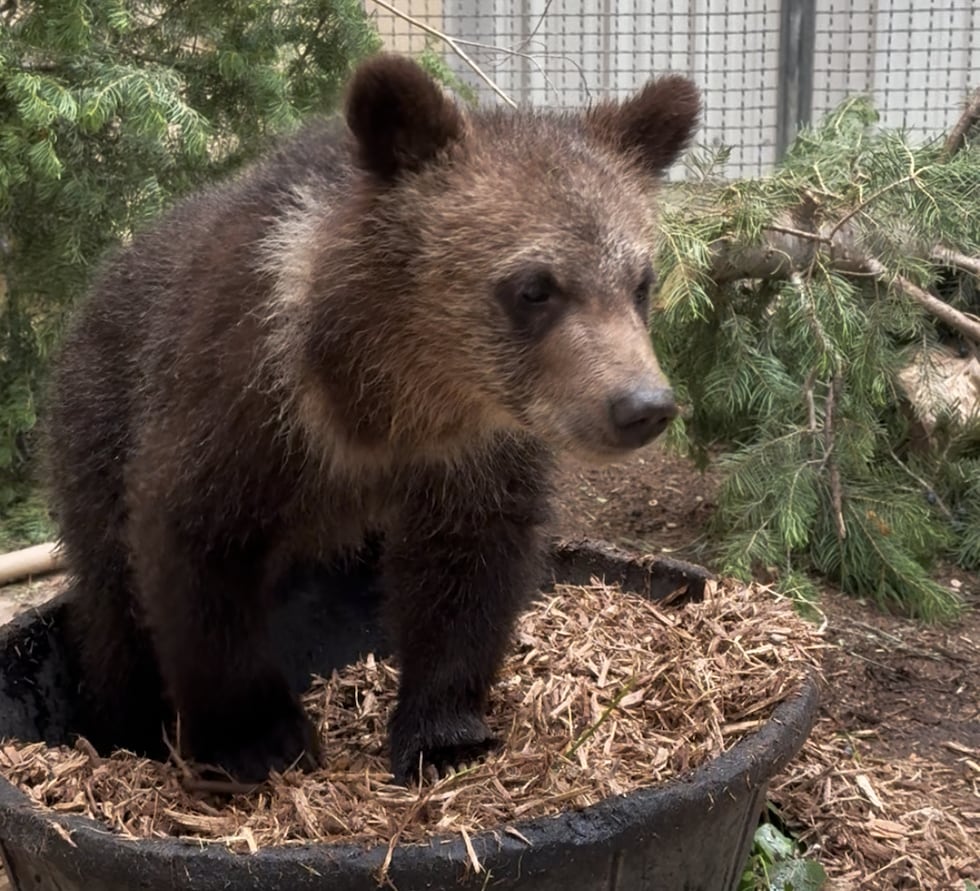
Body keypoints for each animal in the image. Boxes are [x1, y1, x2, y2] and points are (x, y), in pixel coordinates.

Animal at [43, 53, 701, 784]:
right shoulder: (234, 405)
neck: (384, 398)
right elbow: (196, 555)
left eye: (641, 281)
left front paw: (443, 733)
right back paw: (125, 721)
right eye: (535, 287)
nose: (641, 405)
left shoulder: (471, 455)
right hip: (96, 420)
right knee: (110, 601)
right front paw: (259, 740)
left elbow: (465, 566)